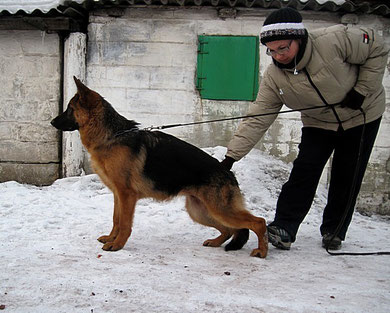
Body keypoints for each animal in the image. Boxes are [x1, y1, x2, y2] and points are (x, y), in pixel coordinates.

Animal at [51, 77, 268, 258]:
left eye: (69, 109)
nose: (51, 121)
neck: (112, 135)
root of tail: (227, 170)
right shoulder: (118, 195)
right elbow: (116, 219)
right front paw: (112, 238)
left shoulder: (127, 196)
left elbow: (125, 223)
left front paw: (118, 245)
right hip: (200, 211)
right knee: (229, 229)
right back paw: (216, 242)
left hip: (219, 209)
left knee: (258, 222)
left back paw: (262, 251)